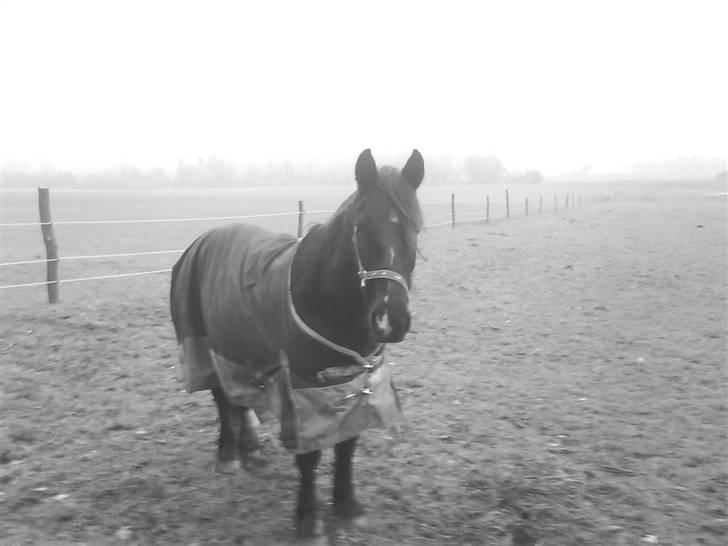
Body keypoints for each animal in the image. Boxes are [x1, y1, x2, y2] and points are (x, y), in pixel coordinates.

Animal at [170, 149, 424, 538]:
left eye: (414, 229)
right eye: (361, 228)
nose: (389, 321)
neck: (323, 299)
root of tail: (203, 239)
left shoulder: (354, 382)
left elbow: (347, 445)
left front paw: (347, 506)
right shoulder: (304, 389)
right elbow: (310, 456)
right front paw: (309, 519)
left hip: (240, 347)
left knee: (239, 397)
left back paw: (251, 450)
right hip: (204, 347)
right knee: (222, 400)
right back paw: (228, 456)